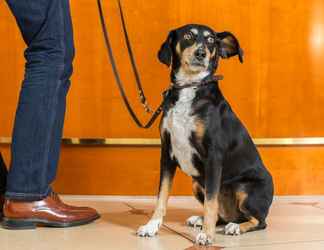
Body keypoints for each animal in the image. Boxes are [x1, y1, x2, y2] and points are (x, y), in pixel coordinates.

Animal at [136, 24, 274, 245]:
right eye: (188, 36)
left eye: (210, 40)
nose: (201, 54)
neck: (189, 87)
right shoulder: (167, 154)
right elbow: (161, 195)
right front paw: (152, 226)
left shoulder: (213, 157)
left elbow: (211, 201)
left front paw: (207, 235)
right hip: (196, 184)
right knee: (223, 214)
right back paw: (202, 220)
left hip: (246, 190)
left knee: (259, 221)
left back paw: (235, 226)